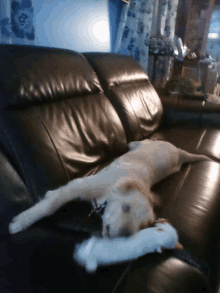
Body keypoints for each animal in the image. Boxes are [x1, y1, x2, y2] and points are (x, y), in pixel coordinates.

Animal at [9, 139, 211, 237]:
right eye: (125, 208)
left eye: (142, 227)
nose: (124, 236)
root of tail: (180, 153)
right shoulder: (80, 185)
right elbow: (50, 204)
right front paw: (21, 221)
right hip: (153, 144)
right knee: (143, 140)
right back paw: (132, 143)